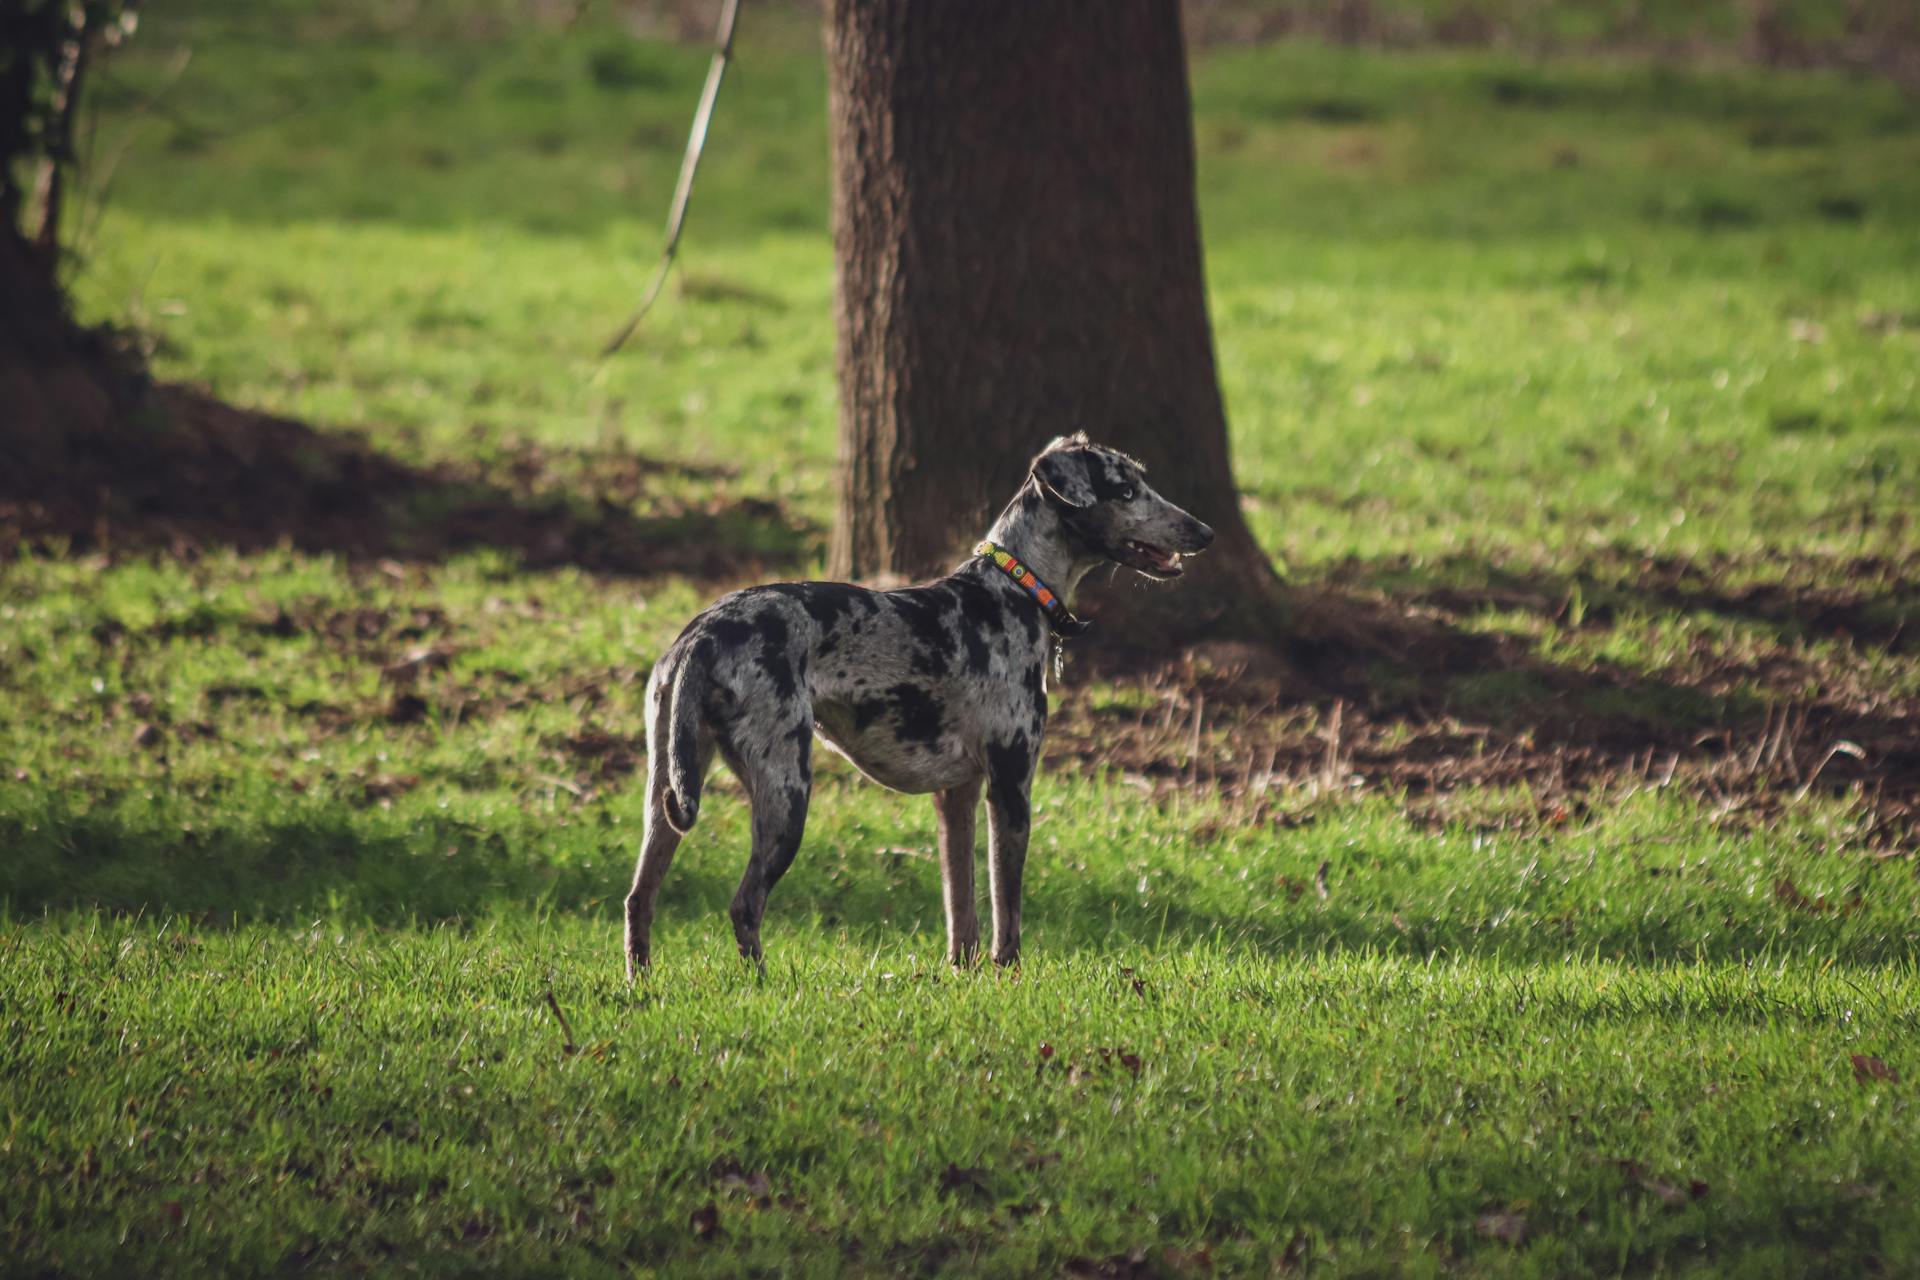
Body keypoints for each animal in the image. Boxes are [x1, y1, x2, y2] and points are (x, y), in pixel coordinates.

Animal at [622, 435, 1205, 974]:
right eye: (1126, 491)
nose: (1206, 532)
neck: (1013, 589)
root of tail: (700, 637)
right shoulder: (1010, 788)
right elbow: (1007, 911)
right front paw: (1009, 977)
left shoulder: (956, 796)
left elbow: (961, 910)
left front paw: (962, 974)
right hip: (785, 795)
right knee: (745, 905)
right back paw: (761, 985)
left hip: (664, 792)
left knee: (638, 900)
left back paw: (641, 985)